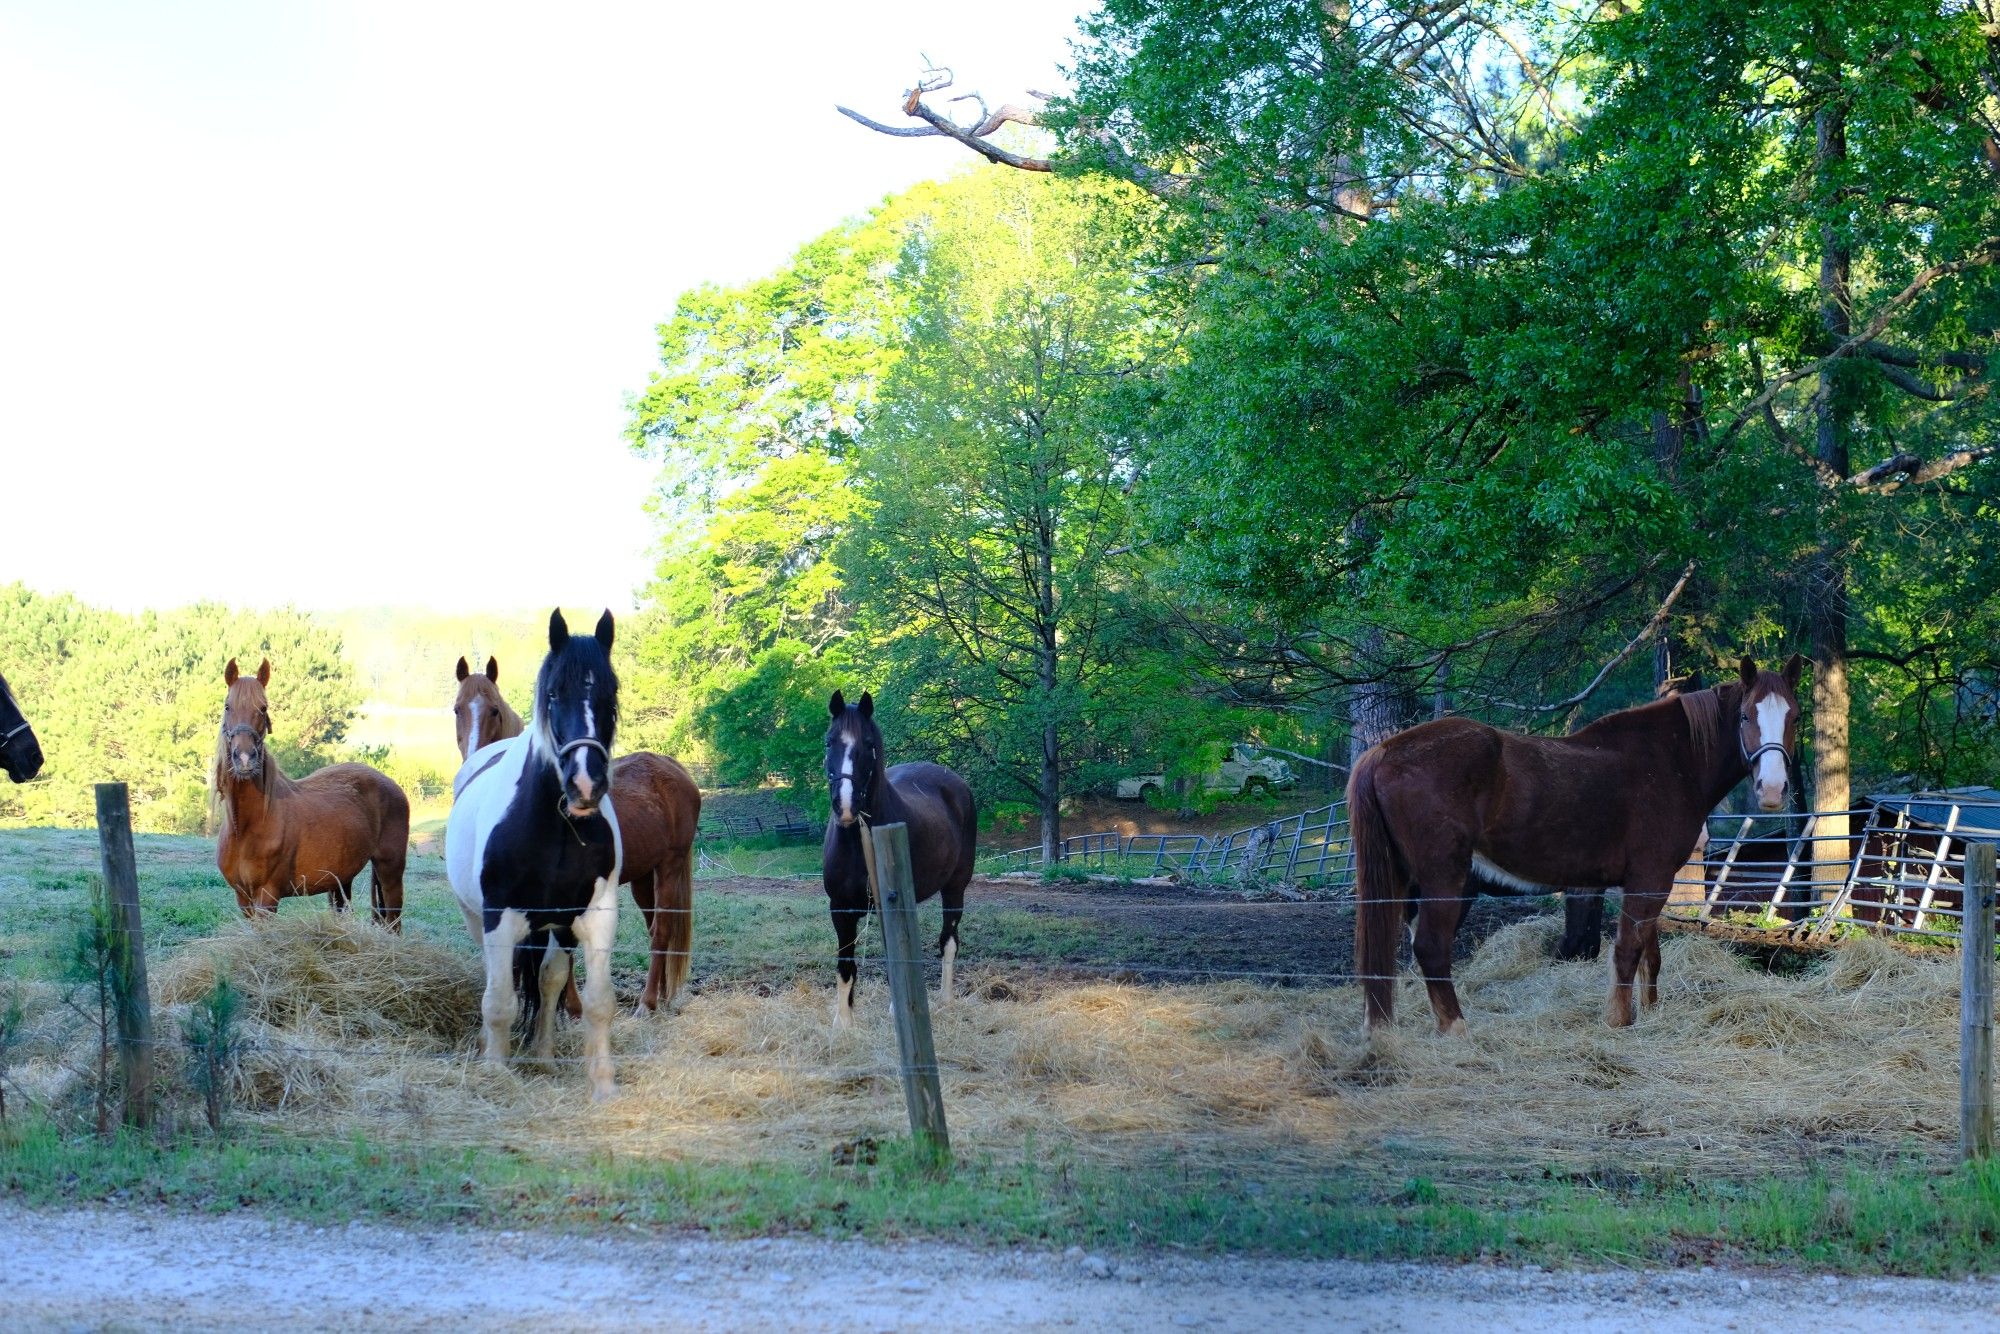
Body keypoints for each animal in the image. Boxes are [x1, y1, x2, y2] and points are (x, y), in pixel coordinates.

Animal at [215, 664, 410, 936]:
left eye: (263, 708)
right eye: (227, 706)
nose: (244, 759)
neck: (246, 828)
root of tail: (390, 783)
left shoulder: (267, 897)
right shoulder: (243, 898)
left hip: (390, 870)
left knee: (394, 920)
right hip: (341, 879)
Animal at [448, 612, 620, 1104]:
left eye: (611, 693)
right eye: (553, 694)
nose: (585, 785)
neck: (554, 824)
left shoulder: (596, 915)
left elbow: (596, 1001)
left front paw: (603, 1085)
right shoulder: (499, 916)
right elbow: (499, 1001)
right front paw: (495, 1071)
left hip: (557, 925)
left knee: (549, 978)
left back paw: (543, 1054)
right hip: (478, 918)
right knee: (496, 978)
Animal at [450, 656, 700, 1012]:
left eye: (495, 710)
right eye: (457, 709)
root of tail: (676, 770)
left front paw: (569, 1005)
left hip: (669, 867)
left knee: (661, 931)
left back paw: (648, 1002)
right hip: (643, 877)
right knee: (655, 929)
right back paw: (661, 998)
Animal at [820, 696, 976, 1032]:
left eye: (868, 743)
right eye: (829, 742)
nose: (845, 806)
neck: (859, 839)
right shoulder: (841, 908)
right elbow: (845, 964)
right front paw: (844, 1023)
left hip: (955, 886)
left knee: (949, 942)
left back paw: (945, 1001)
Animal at [1352, 656, 1808, 1032]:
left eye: (1795, 717)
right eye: (1746, 715)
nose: (1772, 790)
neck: (1671, 762)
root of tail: (1385, 750)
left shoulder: (1649, 881)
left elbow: (1650, 954)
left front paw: (1650, 1012)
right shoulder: (1649, 878)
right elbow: (1627, 951)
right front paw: (1618, 1022)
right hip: (1445, 878)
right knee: (1431, 947)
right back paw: (1456, 1030)